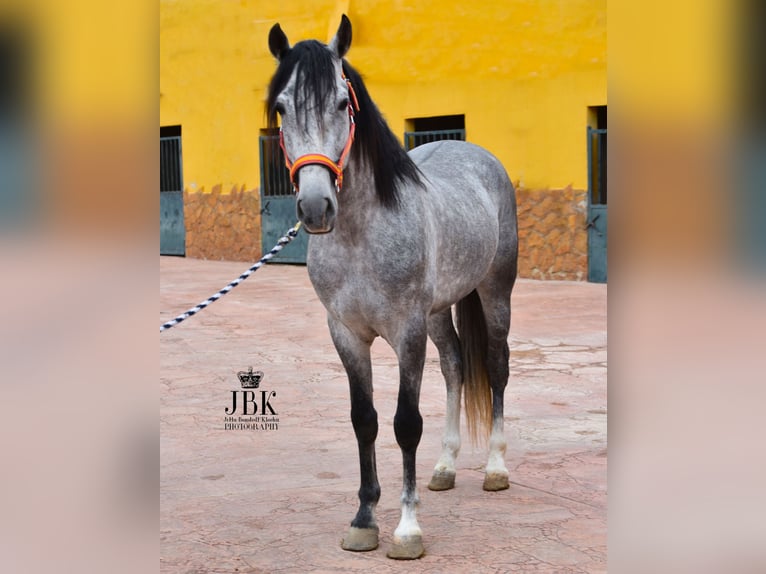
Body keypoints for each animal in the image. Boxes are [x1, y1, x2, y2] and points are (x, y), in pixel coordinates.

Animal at [268, 14, 520, 564]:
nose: (315, 207)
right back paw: (445, 468)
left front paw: (407, 531)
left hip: (495, 294)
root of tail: (474, 151)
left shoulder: (407, 332)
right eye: (281, 108)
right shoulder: (346, 333)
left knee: (495, 366)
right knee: (454, 366)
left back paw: (495, 468)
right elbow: (365, 419)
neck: (361, 235)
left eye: (344, 103)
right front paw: (364, 522)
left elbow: (406, 423)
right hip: (438, 313)